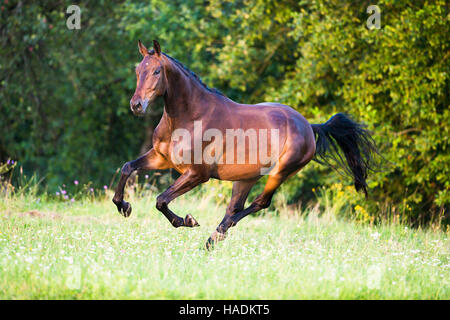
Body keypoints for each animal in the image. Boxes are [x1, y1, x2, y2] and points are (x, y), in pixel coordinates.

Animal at [110, 40, 378, 249]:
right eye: (138, 71)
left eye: (157, 71)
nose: (136, 105)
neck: (190, 117)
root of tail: (309, 127)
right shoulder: (161, 158)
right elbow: (128, 167)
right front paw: (124, 207)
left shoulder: (197, 174)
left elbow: (161, 199)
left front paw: (187, 220)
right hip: (246, 177)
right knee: (234, 208)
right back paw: (213, 240)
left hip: (280, 172)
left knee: (259, 203)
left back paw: (214, 236)